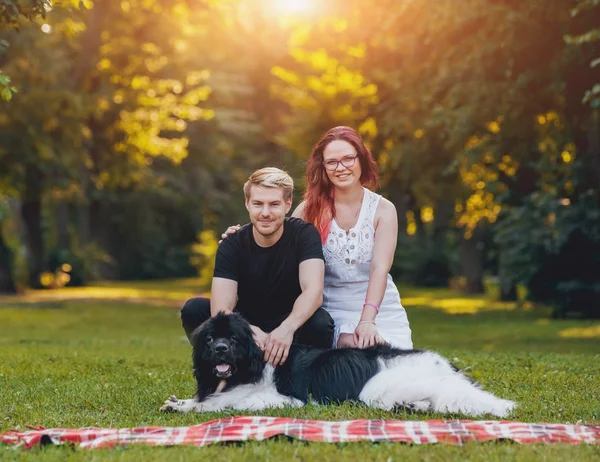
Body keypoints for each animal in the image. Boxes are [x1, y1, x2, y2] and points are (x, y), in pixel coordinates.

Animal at [159, 312, 516, 416]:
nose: (220, 349)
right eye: (209, 340)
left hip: (376, 390)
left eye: (232, 340)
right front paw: (179, 402)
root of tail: (445, 367)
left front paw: (187, 407)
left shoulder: (281, 399)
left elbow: (222, 404)